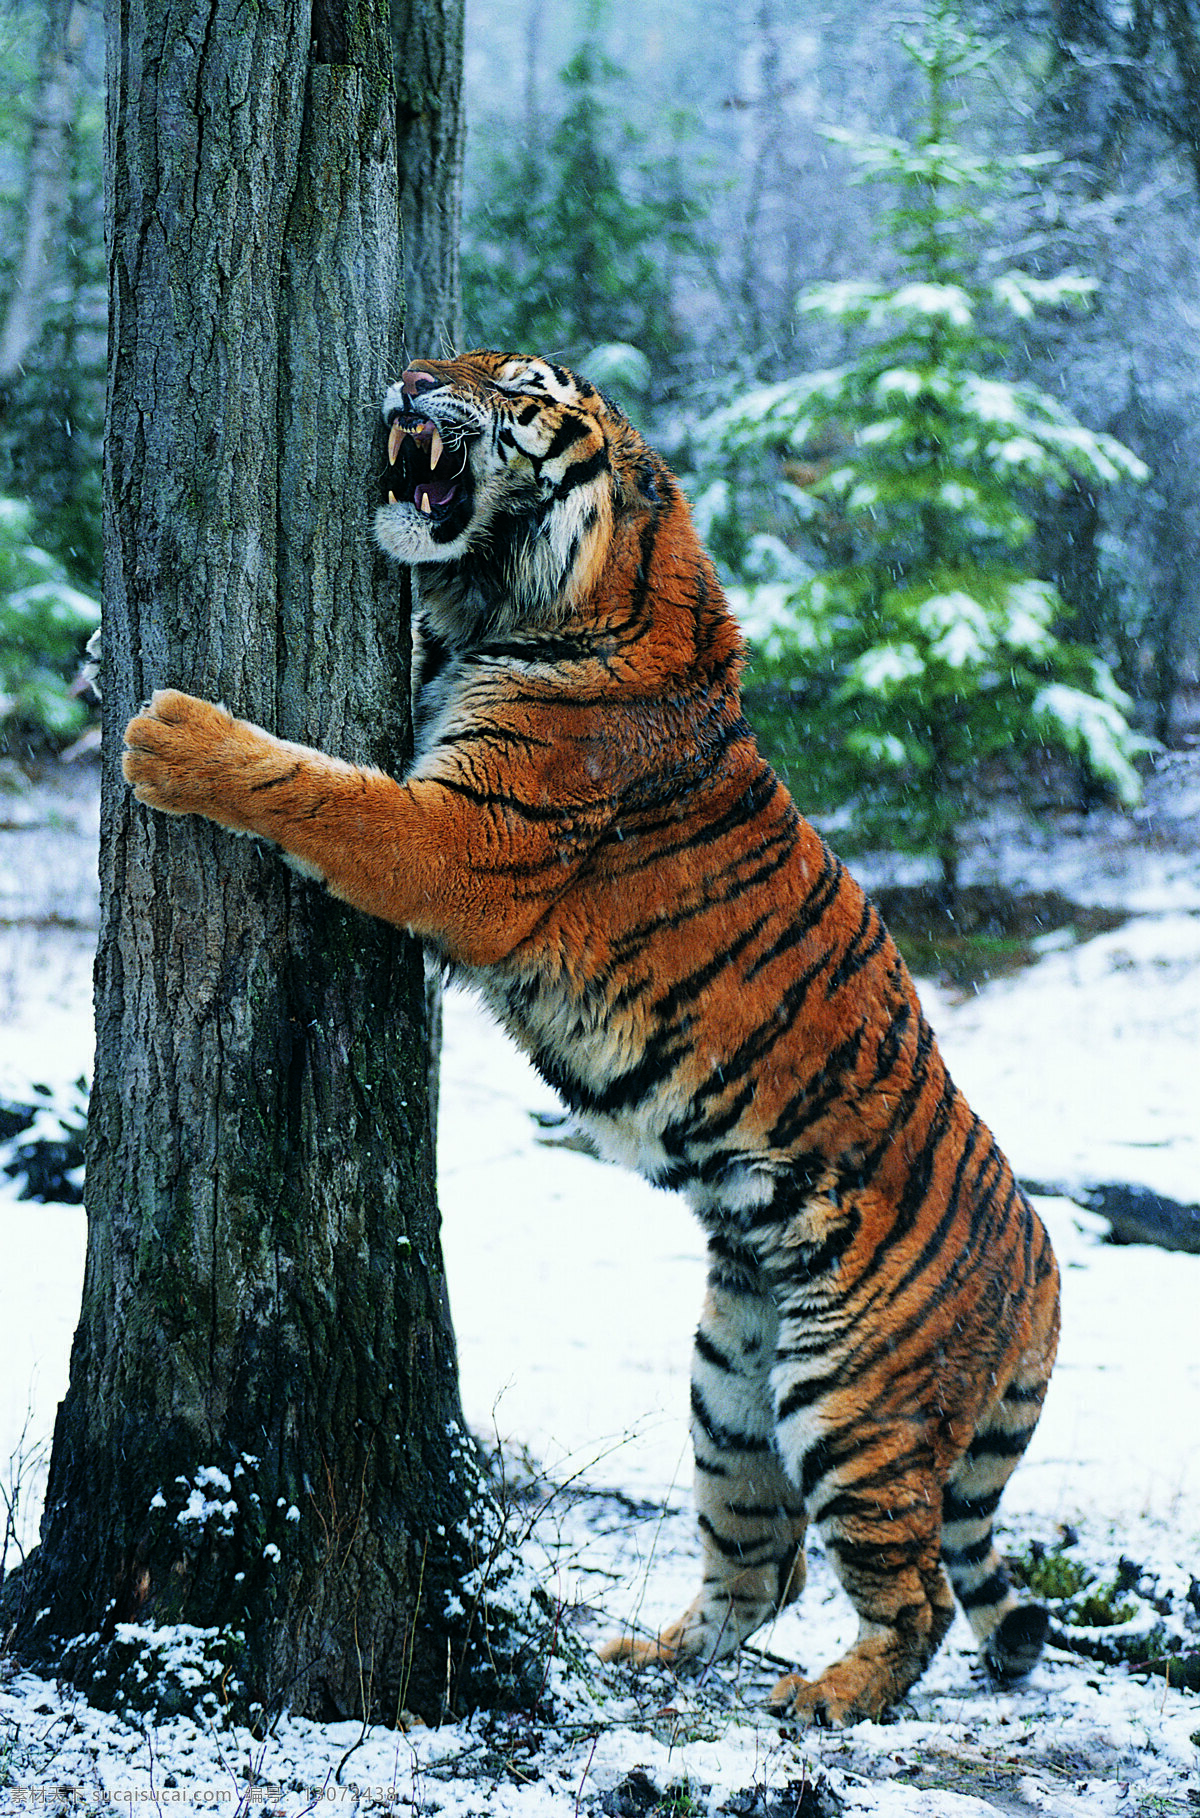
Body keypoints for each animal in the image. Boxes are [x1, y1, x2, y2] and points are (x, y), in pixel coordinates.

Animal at [121, 347, 1061, 1723]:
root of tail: (1046, 1268)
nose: (410, 369)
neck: (521, 606)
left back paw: (831, 1697)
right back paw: (648, 1659)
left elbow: (318, 790)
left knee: (921, 1596)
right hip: (731, 1386)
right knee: (762, 1569)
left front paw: (171, 735)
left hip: (849, 1399)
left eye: (518, 385)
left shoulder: (461, 844)